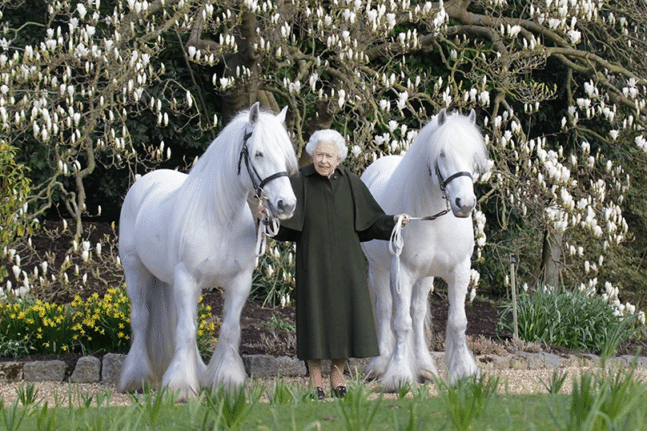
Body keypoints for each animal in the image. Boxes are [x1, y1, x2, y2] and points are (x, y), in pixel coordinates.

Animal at [117, 102, 298, 402]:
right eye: (258, 153)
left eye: (285, 156)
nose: (286, 204)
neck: (219, 218)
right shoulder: (187, 280)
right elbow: (186, 331)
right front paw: (180, 388)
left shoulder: (239, 282)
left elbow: (228, 330)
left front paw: (227, 382)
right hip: (135, 270)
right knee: (141, 319)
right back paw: (136, 378)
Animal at [362, 108, 488, 392]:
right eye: (442, 154)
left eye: (473, 156)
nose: (464, 204)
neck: (434, 219)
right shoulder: (402, 272)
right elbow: (401, 323)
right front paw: (398, 376)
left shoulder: (459, 270)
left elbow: (457, 322)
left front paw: (464, 373)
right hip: (379, 269)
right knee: (385, 310)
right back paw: (380, 365)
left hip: (425, 276)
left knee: (417, 314)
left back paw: (423, 368)